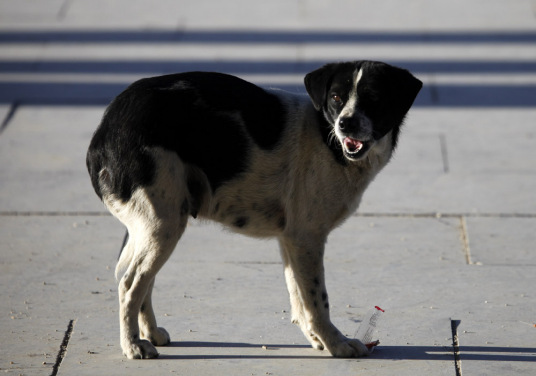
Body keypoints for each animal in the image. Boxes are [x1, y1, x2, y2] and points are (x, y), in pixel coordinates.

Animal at [87, 60, 422, 360]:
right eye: (336, 98)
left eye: (374, 97)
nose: (346, 123)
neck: (329, 140)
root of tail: (106, 127)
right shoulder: (307, 237)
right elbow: (317, 301)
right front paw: (336, 343)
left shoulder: (291, 239)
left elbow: (299, 297)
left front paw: (317, 339)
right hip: (164, 221)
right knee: (130, 284)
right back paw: (132, 346)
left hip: (155, 225)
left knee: (142, 280)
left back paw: (150, 333)